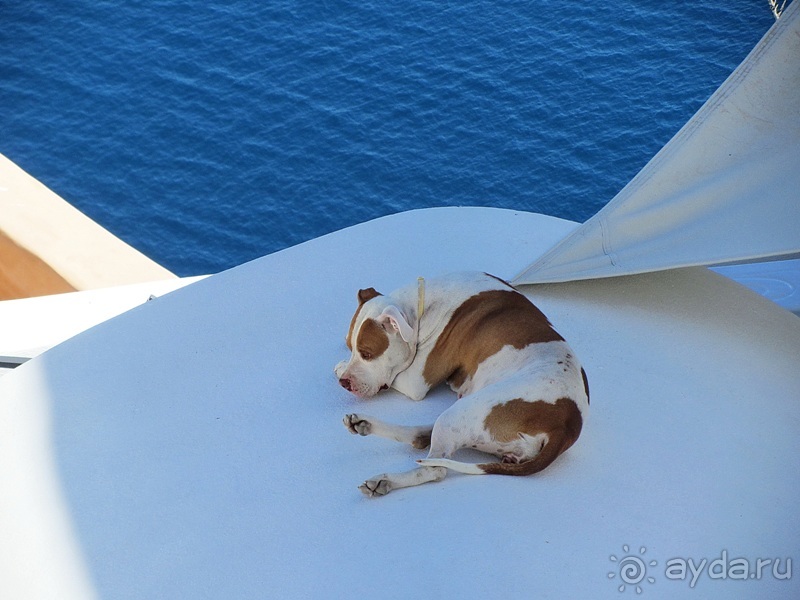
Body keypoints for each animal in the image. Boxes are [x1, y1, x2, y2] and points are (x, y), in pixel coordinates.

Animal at [332, 272, 588, 496]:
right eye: (349, 345)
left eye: (367, 354)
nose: (345, 383)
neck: (418, 307)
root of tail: (567, 425)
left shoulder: (416, 382)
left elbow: (396, 377)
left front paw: (340, 366)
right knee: (421, 437)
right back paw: (364, 424)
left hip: (464, 412)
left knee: (435, 468)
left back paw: (384, 480)